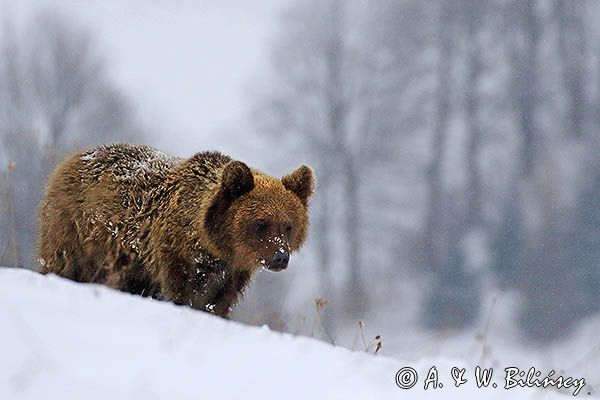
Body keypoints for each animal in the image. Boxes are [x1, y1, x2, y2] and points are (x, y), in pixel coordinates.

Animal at [38, 142, 316, 318]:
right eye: (261, 224)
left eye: (288, 225)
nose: (280, 257)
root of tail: (71, 158)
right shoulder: (173, 256)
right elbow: (180, 294)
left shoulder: (232, 274)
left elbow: (218, 304)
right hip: (75, 231)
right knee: (64, 264)